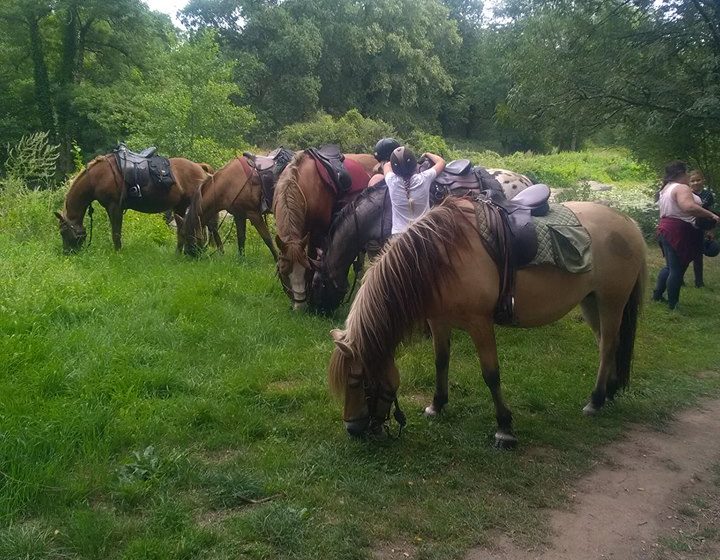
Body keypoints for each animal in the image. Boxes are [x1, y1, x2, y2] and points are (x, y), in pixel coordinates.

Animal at [54, 154, 219, 253]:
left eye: (63, 232)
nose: (67, 253)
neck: (97, 177)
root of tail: (200, 167)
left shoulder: (114, 207)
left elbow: (116, 233)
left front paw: (118, 253)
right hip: (180, 207)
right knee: (184, 229)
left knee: (210, 227)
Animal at [330, 196, 644, 446]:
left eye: (357, 380)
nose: (353, 429)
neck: (438, 258)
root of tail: (628, 222)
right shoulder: (439, 321)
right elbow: (441, 362)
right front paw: (437, 405)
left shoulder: (479, 324)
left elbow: (491, 374)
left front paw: (504, 427)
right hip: (591, 302)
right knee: (608, 344)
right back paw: (610, 391)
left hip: (611, 301)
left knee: (607, 346)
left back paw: (596, 400)